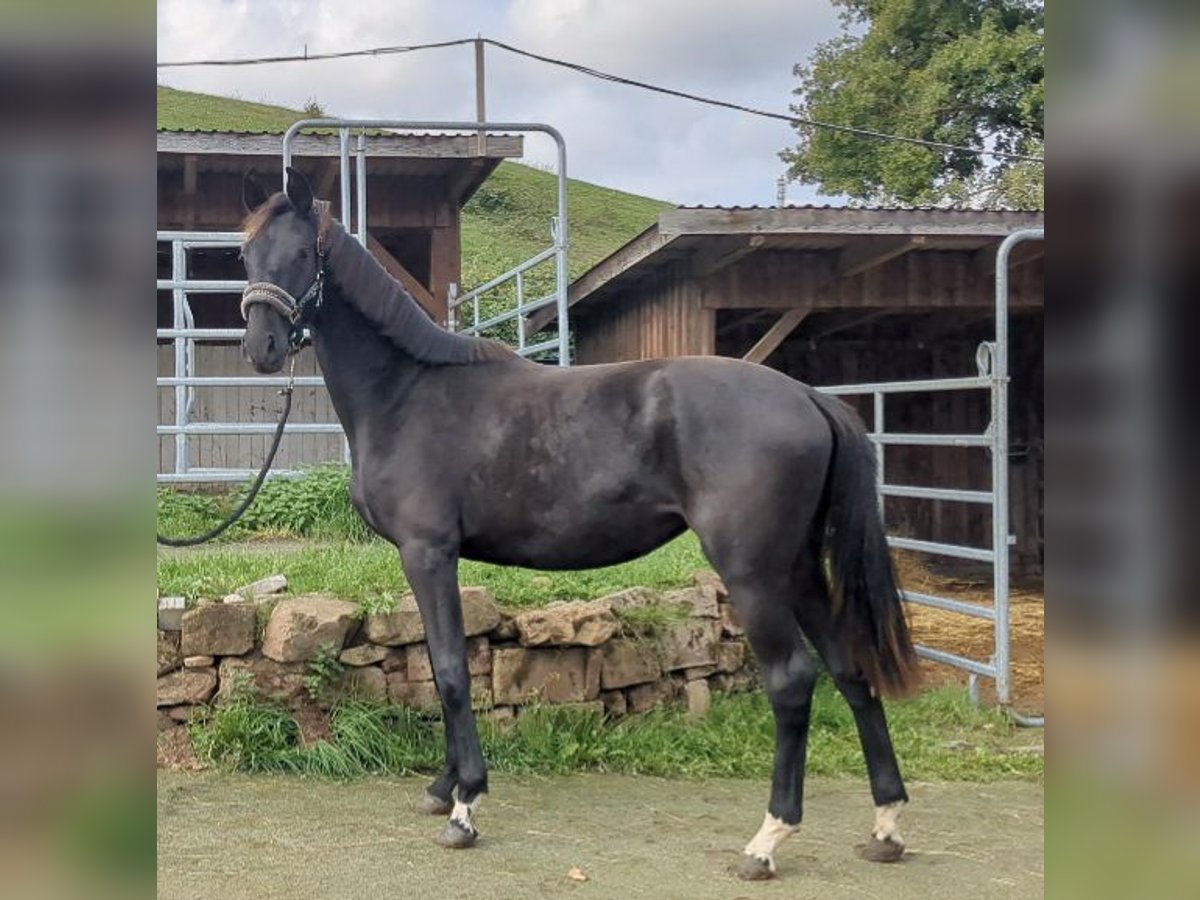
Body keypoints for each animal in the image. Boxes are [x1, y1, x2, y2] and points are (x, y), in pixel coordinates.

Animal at [237, 167, 919, 880]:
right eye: (245, 255)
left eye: (302, 254)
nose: (261, 347)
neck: (408, 394)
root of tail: (809, 397)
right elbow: (440, 664)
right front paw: (442, 788)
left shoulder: (429, 554)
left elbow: (451, 671)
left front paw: (464, 806)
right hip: (799, 568)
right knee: (849, 668)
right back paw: (885, 826)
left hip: (754, 573)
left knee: (791, 680)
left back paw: (765, 842)